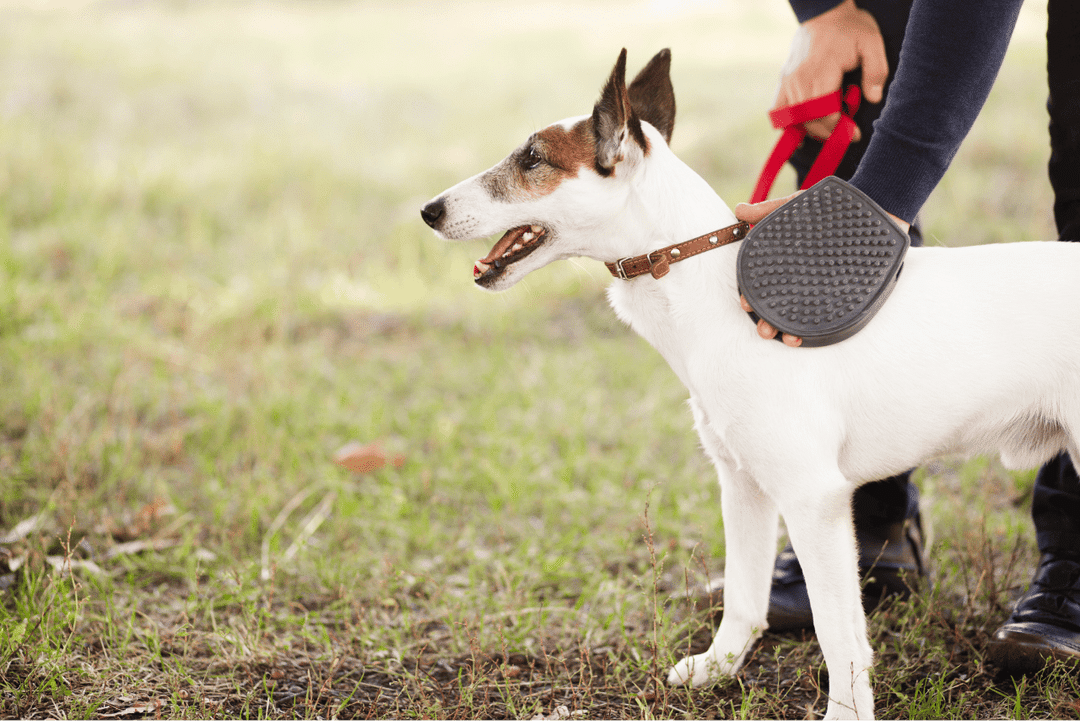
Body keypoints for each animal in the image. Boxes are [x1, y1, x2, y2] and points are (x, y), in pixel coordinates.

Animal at [419, 47, 1080, 716]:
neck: (706, 284)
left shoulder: (813, 499)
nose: (428, 211)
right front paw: (720, 666)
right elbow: (745, 594)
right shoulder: (743, 484)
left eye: (533, 159)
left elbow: (837, 629)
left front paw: (845, 709)